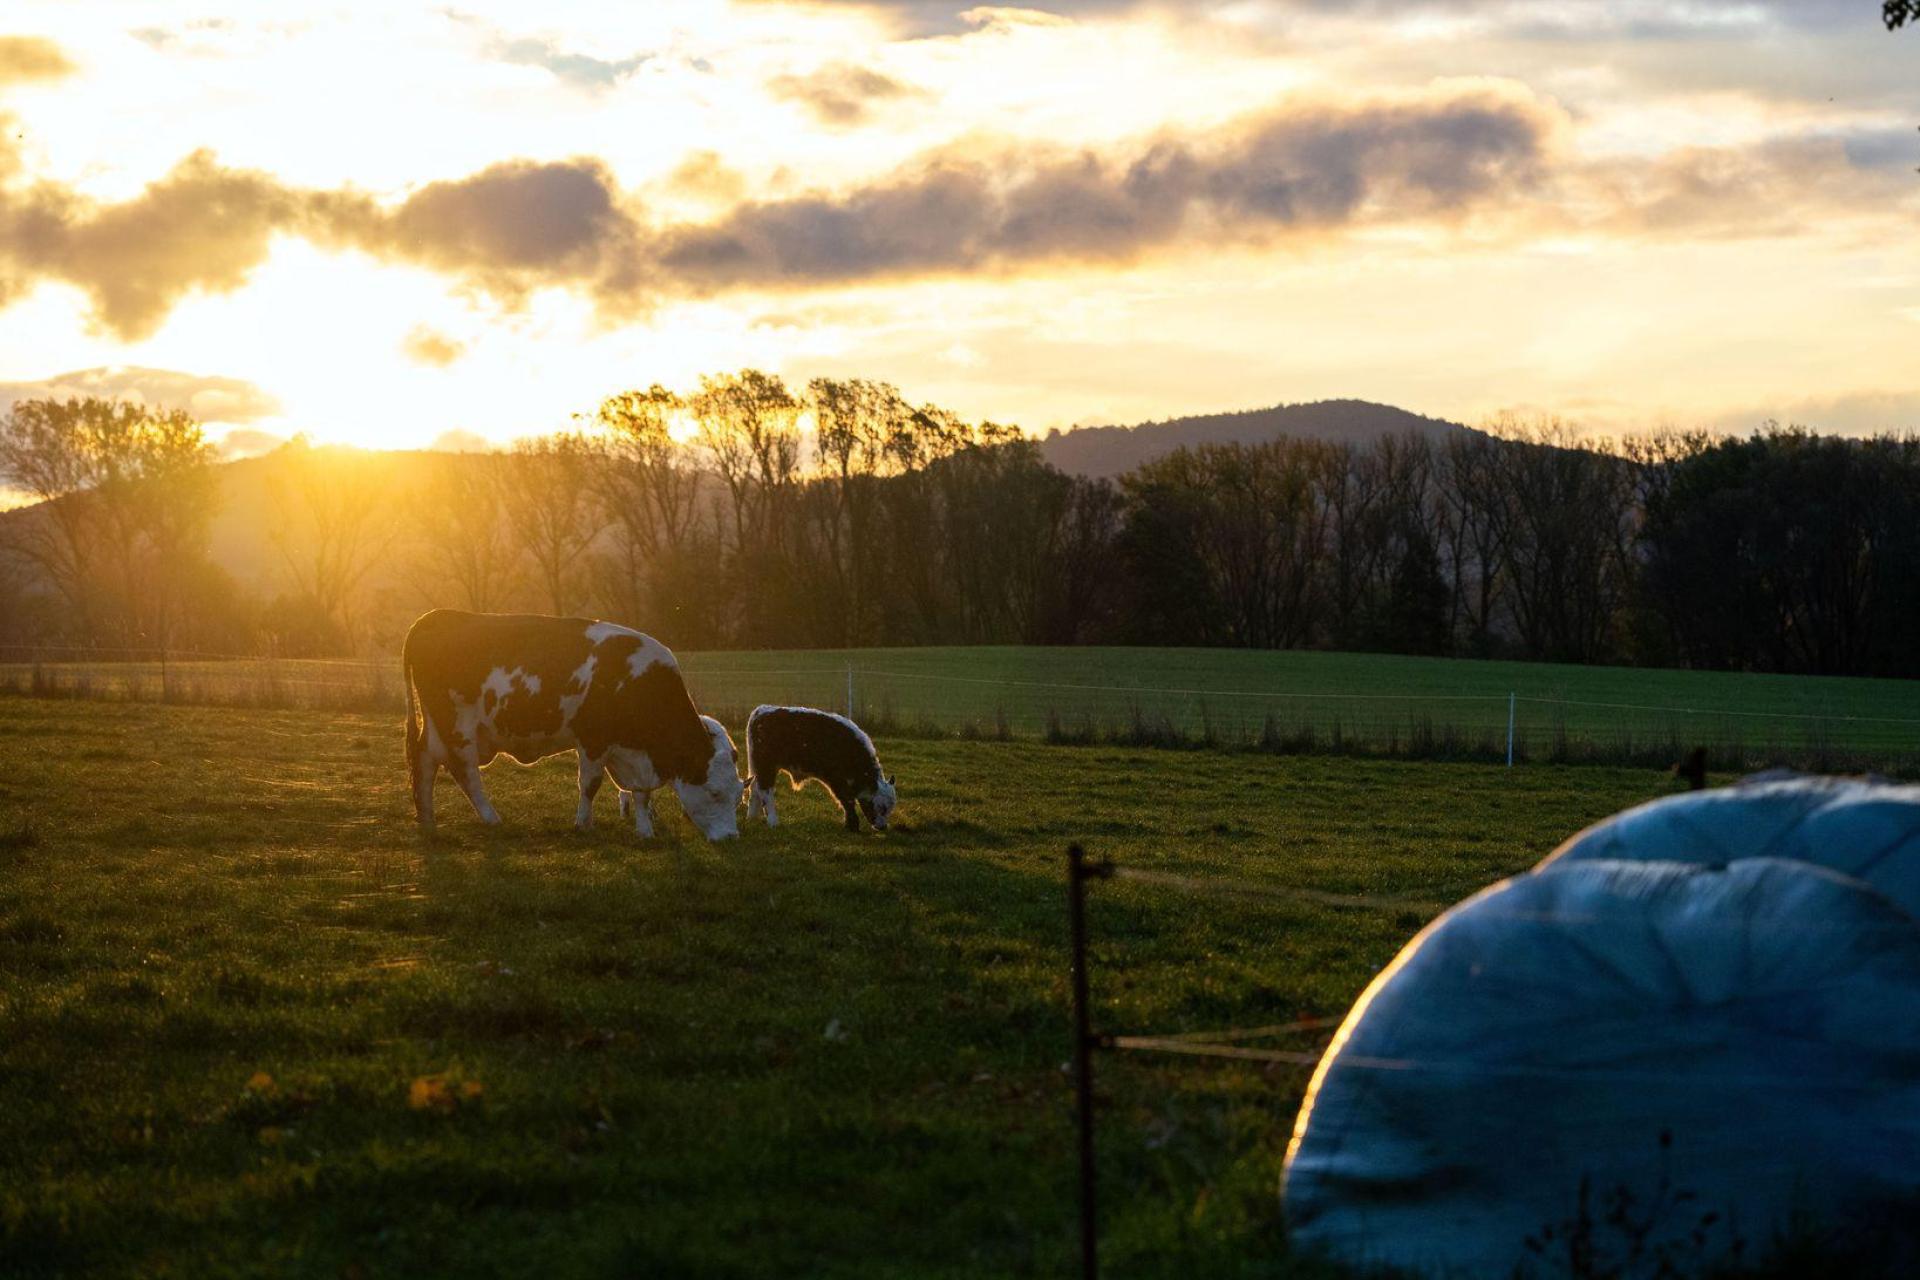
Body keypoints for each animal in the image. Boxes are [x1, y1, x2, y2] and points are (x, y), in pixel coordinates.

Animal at [402, 610, 743, 840]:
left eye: (739, 794)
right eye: (714, 793)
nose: (730, 838)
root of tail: (437, 616)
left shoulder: (631, 752)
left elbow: (640, 793)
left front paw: (645, 831)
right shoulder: (593, 739)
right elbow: (590, 784)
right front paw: (583, 824)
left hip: (437, 727)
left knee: (425, 761)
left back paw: (428, 820)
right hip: (458, 726)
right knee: (465, 772)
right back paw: (491, 818)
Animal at [744, 705, 897, 832]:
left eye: (890, 808)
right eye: (881, 808)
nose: (883, 827)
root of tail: (762, 710)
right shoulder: (836, 780)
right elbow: (847, 801)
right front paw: (852, 826)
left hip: (756, 766)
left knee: (754, 788)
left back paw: (752, 817)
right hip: (766, 766)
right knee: (765, 791)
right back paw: (773, 821)